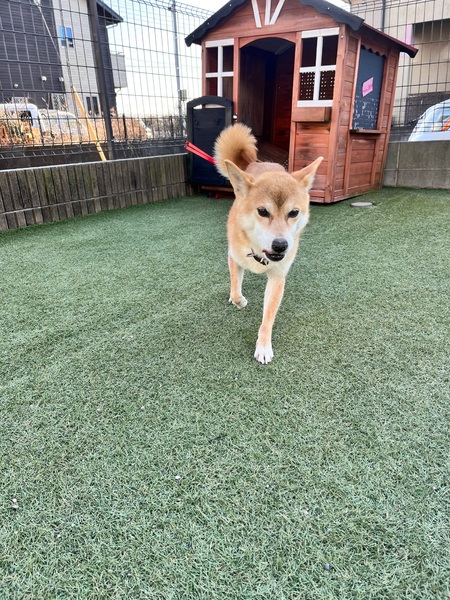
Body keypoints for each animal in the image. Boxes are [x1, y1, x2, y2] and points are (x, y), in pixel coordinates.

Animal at [214, 123, 323, 364]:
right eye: (262, 211)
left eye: (294, 212)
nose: (281, 245)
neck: (259, 254)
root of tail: (262, 163)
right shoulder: (234, 258)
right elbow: (236, 290)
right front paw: (239, 301)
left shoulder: (277, 277)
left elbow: (268, 318)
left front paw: (263, 346)